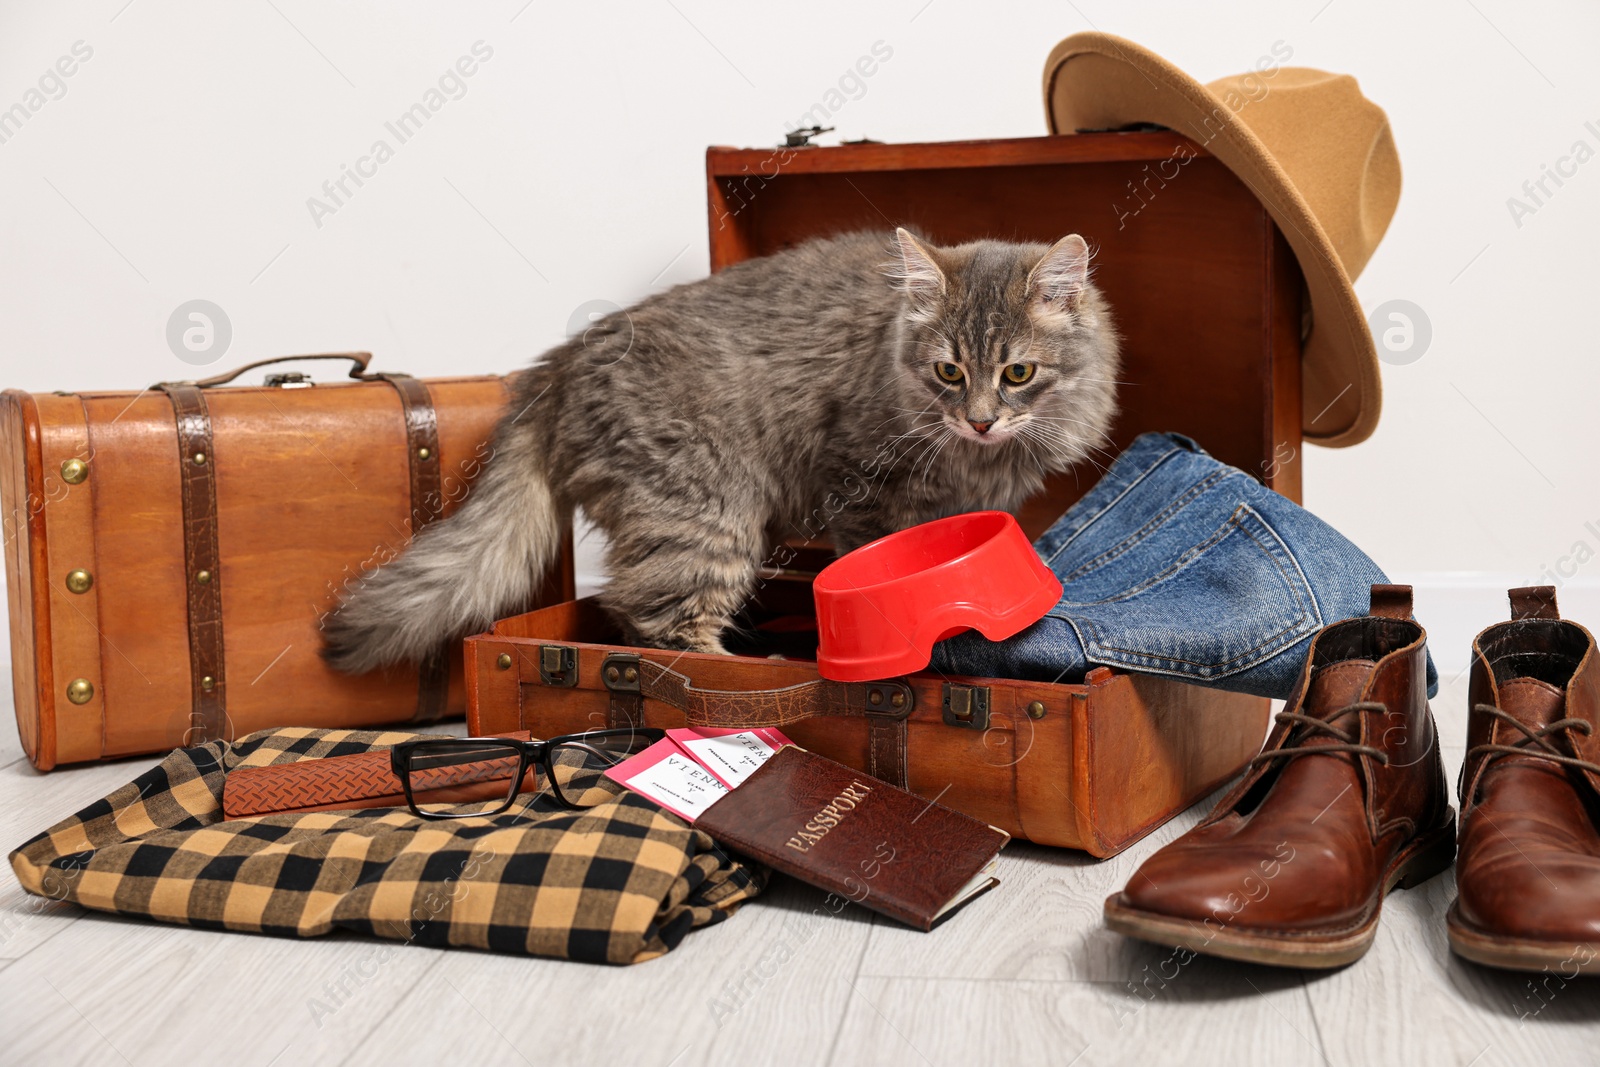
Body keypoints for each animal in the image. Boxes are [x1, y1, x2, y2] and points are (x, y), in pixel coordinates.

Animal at [323, 230, 1120, 671]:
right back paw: (745, 665)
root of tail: (561, 364)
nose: (981, 422)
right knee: (646, 614)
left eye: (1017, 374)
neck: (973, 458)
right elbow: (878, 553)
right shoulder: (859, 478)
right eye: (949, 373)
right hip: (706, 512)